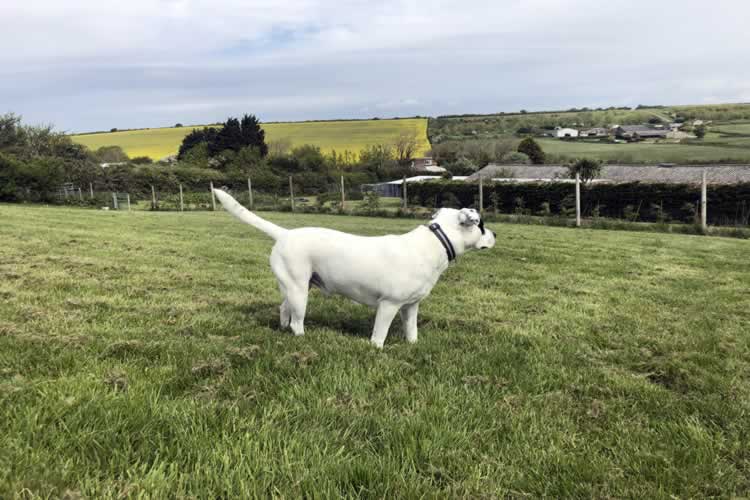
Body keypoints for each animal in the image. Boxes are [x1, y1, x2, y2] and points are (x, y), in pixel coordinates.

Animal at [212, 188, 496, 348]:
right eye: (481, 225)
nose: (495, 234)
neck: (435, 241)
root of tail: (285, 233)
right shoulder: (389, 305)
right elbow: (379, 335)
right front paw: (377, 350)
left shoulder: (410, 307)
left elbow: (411, 330)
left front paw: (413, 346)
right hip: (299, 291)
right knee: (297, 321)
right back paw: (301, 338)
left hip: (296, 288)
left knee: (284, 310)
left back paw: (283, 330)